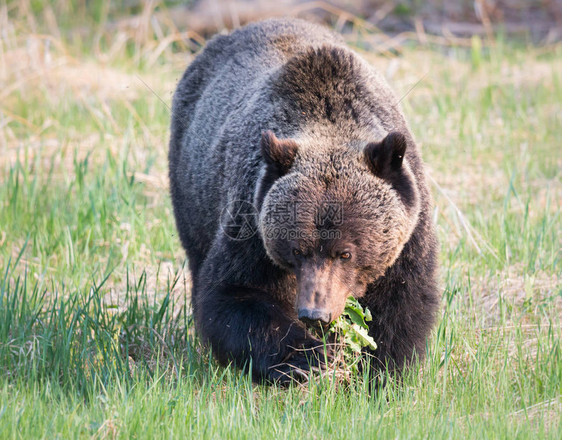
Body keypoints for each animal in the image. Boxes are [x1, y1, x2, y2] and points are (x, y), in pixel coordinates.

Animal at [168, 18, 440, 382]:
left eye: (345, 252)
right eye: (297, 249)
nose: (315, 313)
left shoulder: (409, 235)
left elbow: (402, 304)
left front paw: (376, 371)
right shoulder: (250, 222)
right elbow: (233, 295)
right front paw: (313, 357)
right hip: (193, 189)